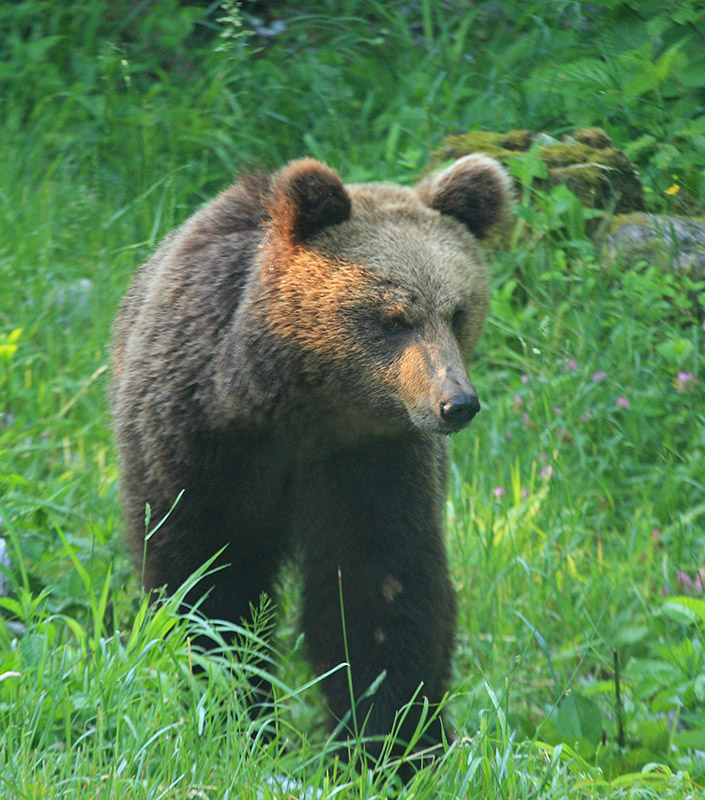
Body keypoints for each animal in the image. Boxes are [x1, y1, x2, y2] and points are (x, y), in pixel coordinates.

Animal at [113, 155, 512, 768]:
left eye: (459, 311)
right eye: (394, 316)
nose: (457, 403)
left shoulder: (372, 463)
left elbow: (378, 591)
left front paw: (389, 745)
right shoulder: (197, 443)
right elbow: (206, 577)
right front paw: (235, 715)